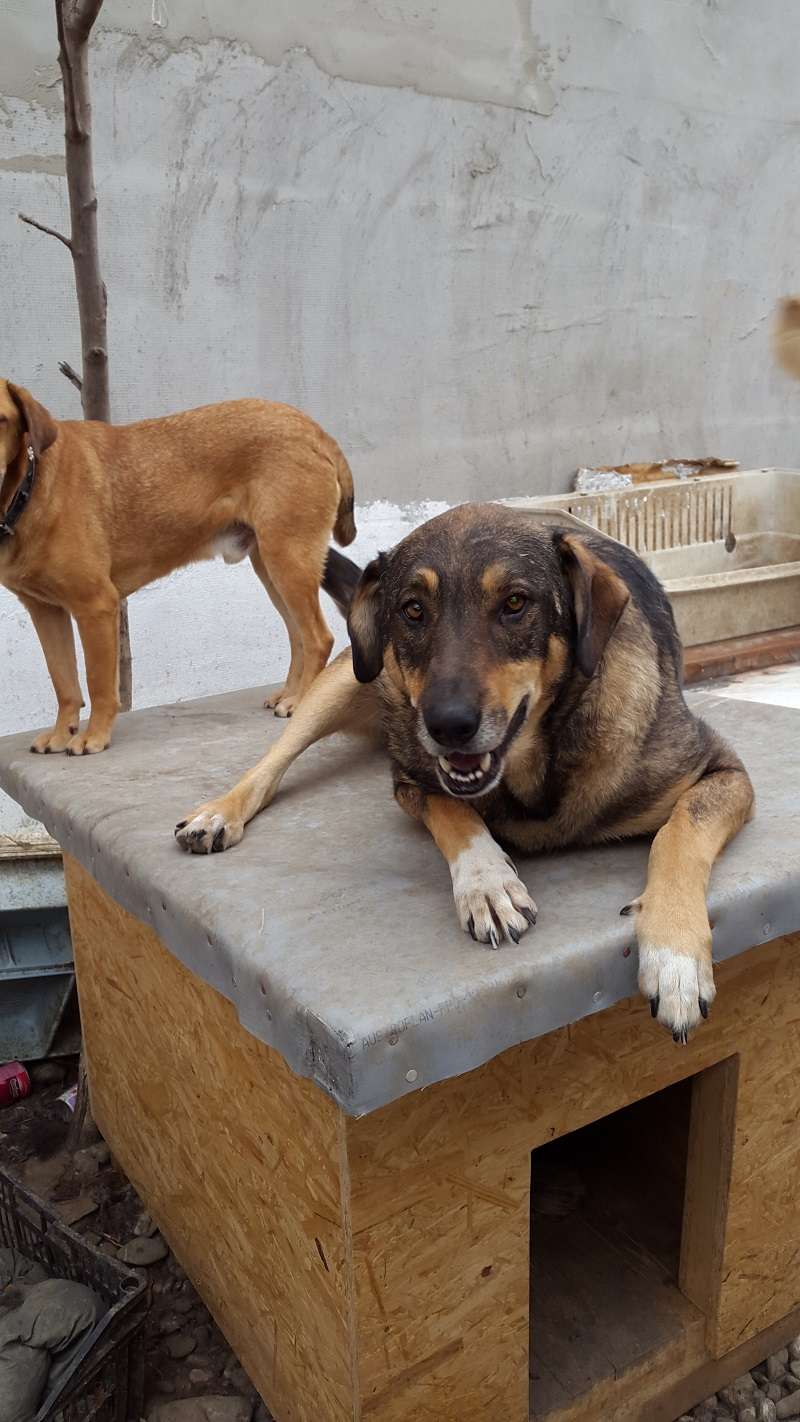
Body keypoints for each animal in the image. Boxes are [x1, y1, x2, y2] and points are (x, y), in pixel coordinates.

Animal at [0, 378, 356, 756]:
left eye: (1, 420)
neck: (29, 490)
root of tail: (315, 431)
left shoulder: (95, 605)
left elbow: (98, 682)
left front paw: (93, 735)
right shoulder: (45, 611)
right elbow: (63, 681)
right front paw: (61, 732)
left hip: (288, 560)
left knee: (317, 637)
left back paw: (302, 701)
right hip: (271, 567)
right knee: (297, 635)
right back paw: (291, 693)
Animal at [171, 506, 755, 1040]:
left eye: (515, 603)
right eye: (412, 610)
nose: (447, 725)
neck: (534, 769)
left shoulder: (724, 772)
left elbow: (678, 835)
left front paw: (675, 957)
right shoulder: (412, 782)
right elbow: (455, 815)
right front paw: (487, 883)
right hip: (345, 682)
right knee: (271, 762)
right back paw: (218, 813)